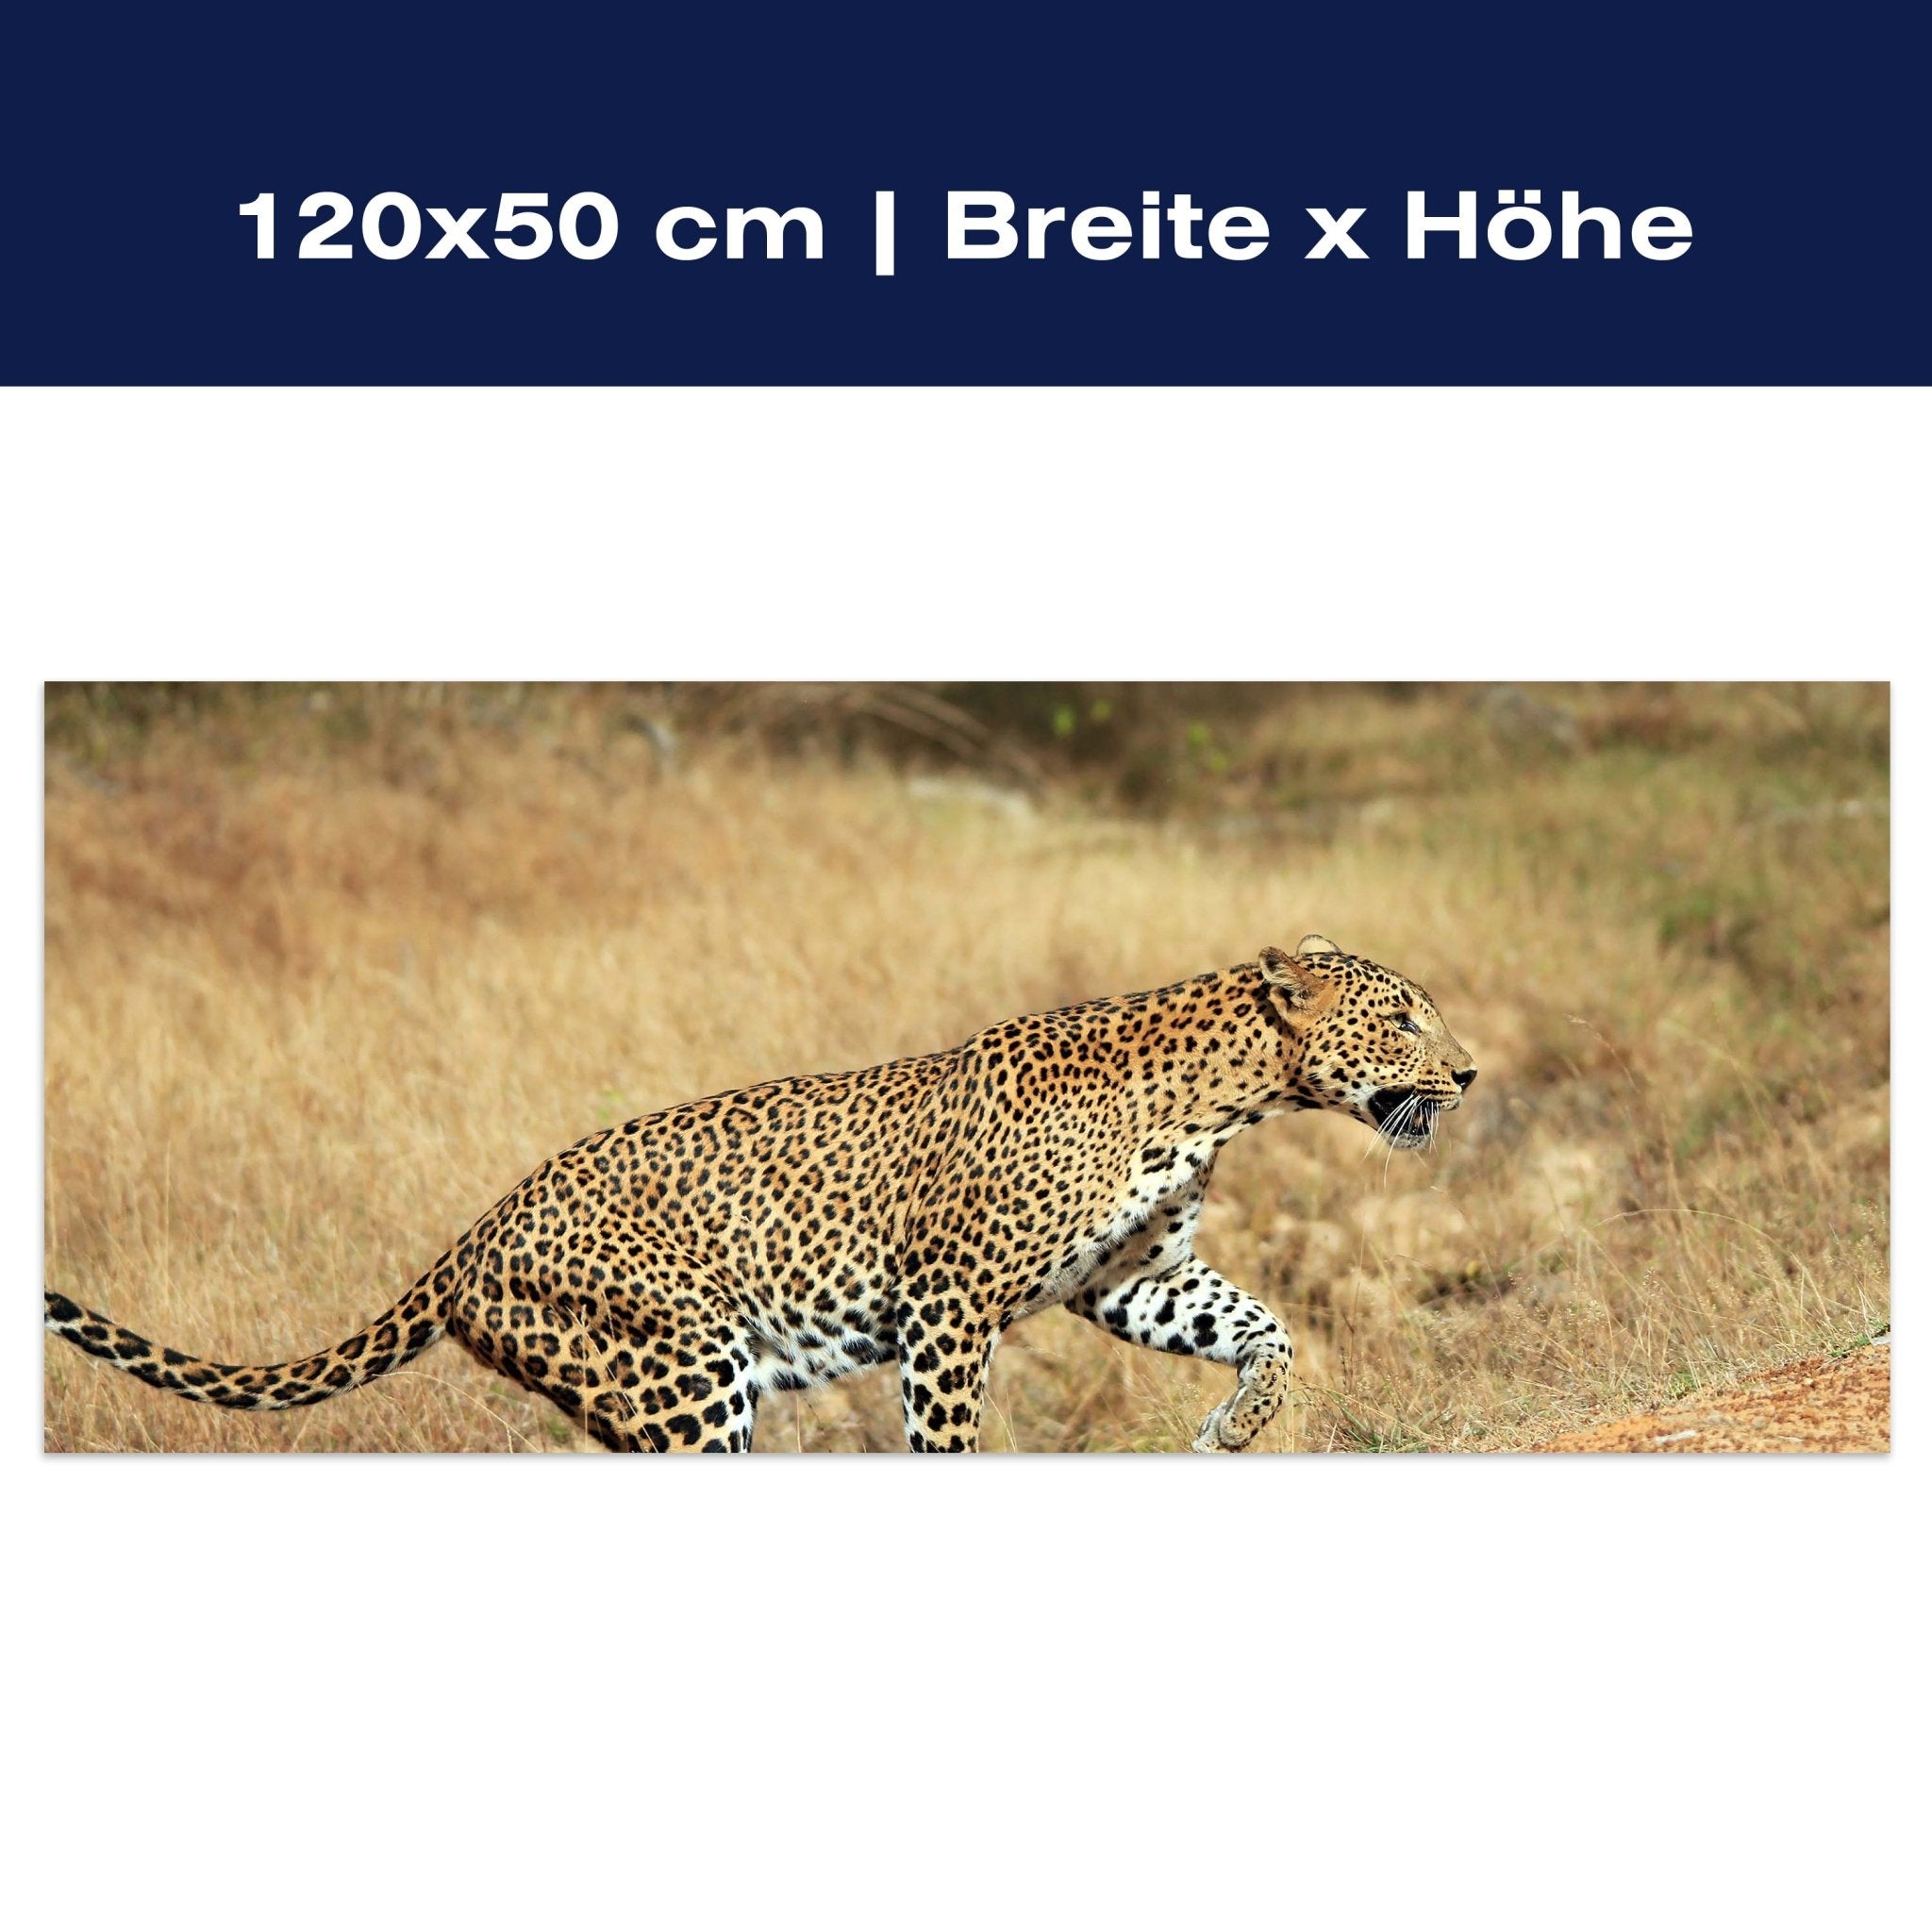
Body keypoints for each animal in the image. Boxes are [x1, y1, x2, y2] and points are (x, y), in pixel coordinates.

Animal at [45, 935, 1475, 1452]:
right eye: (1405, 1015)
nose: (1466, 1071)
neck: (1222, 1095)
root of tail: (469, 1238)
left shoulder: (1131, 1278)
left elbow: (1265, 1328)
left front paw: (1237, 1424)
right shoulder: (950, 1308)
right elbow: (947, 1438)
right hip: (685, 1377)